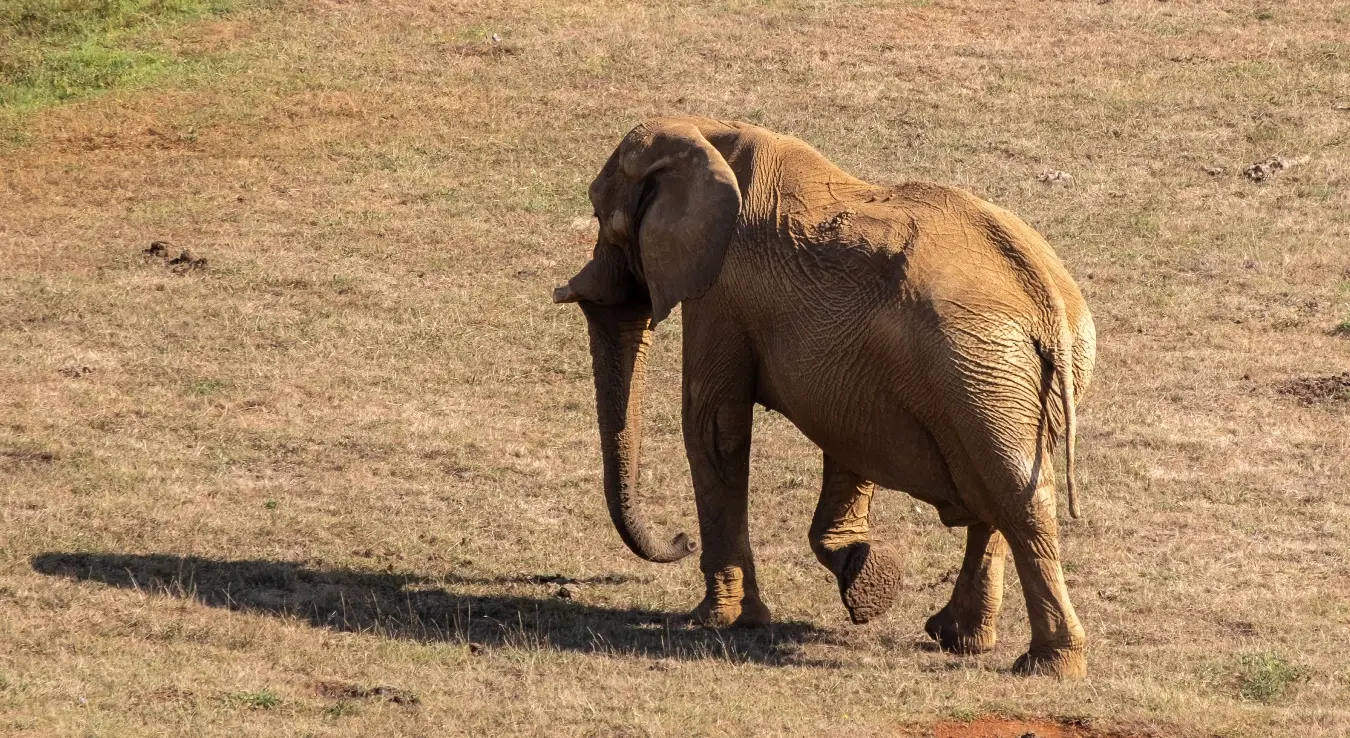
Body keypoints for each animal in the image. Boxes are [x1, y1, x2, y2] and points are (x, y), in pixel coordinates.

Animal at [552, 117, 1096, 679]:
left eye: (601, 215)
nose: (682, 539)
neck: (708, 131)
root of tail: (1048, 301)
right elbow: (846, 439)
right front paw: (864, 578)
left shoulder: (721, 288)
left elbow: (714, 426)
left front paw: (719, 620)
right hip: (1006, 375)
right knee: (996, 489)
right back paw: (961, 639)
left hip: (979, 367)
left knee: (1015, 496)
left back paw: (1047, 666)